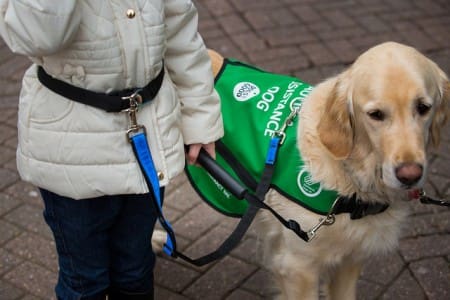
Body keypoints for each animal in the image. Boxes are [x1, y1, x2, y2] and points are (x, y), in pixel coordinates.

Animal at [153, 42, 448, 300]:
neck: (348, 176)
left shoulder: (350, 260)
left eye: (423, 108)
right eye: (375, 114)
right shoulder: (297, 266)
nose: (409, 174)